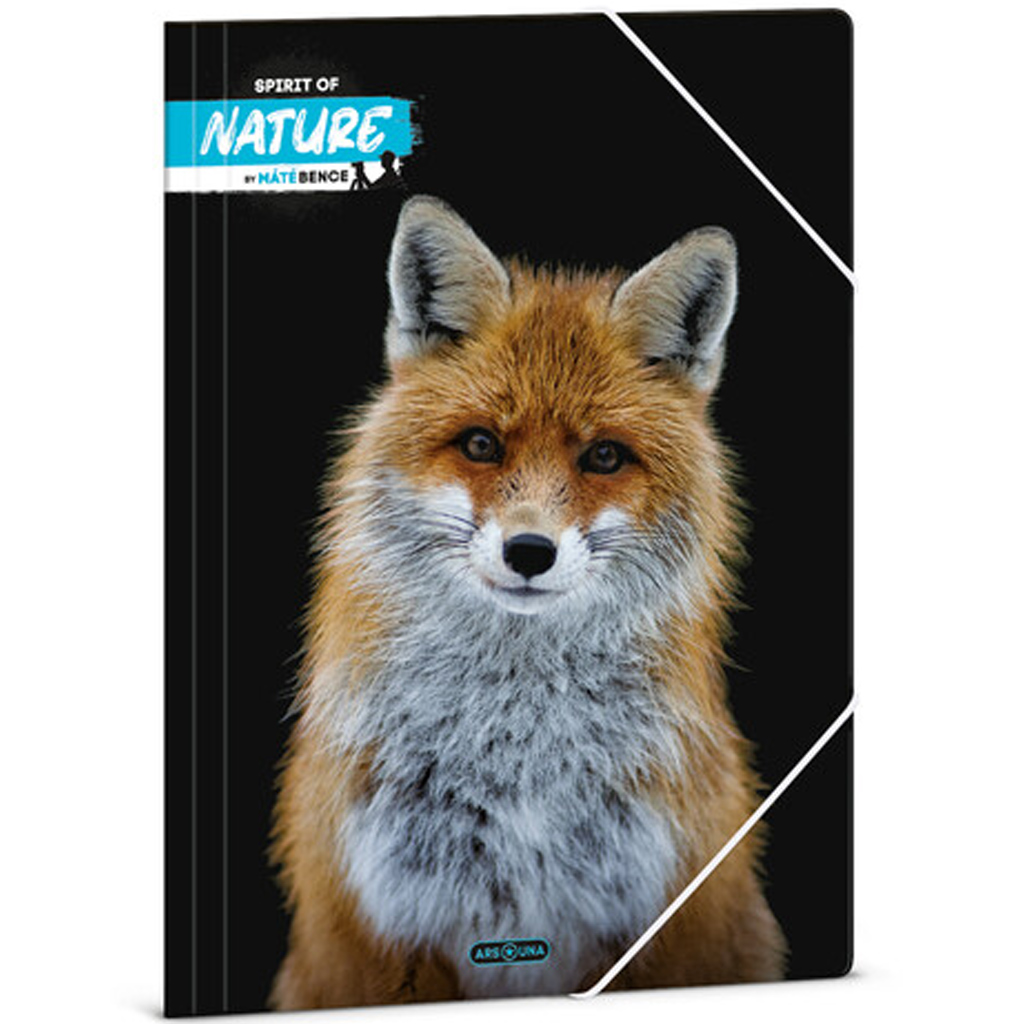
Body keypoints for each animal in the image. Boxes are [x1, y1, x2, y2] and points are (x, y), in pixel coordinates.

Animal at [269, 195, 786, 1009]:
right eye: (482, 444)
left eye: (604, 456)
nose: (530, 552)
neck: (518, 765)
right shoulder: (384, 930)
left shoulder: (661, 920)